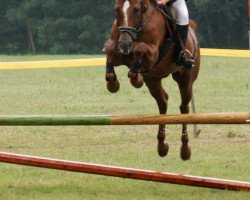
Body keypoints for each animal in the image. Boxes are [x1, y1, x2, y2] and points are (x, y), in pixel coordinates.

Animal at [103, 0, 199, 160]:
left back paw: (185, 149)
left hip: (185, 80)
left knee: (184, 108)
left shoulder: (153, 54)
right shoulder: (121, 54)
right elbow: (110, 47)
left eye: (136, 9)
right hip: (153, 80)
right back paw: (162, 146)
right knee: (163, 103)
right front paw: (113, 84)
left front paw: (135, 79)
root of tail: (193, 36)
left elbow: (140, 48)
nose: (125, 44)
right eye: (116, 10)